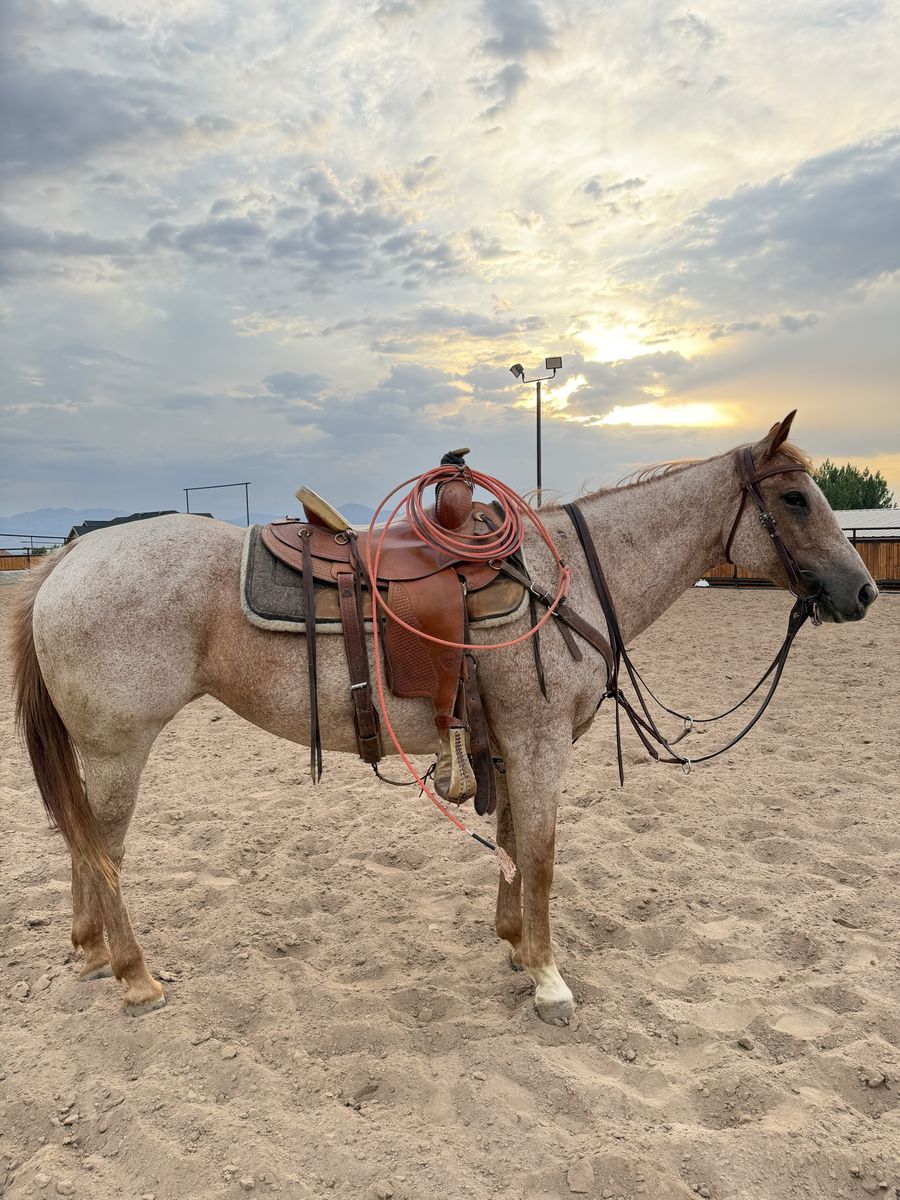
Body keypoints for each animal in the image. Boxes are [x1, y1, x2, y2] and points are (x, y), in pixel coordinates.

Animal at [11, 412, 877, 1023]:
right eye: (795, 498)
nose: (863, 590)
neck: (566, 579)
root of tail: (67, 558)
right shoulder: (540, 742)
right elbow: (543, 855)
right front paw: (550, 977)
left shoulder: (510, 741)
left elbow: (513, 842)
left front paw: (515, 947)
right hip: (119, 746)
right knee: (105, 851)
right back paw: (135, 977)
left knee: (84, 841)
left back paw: (90, 953)